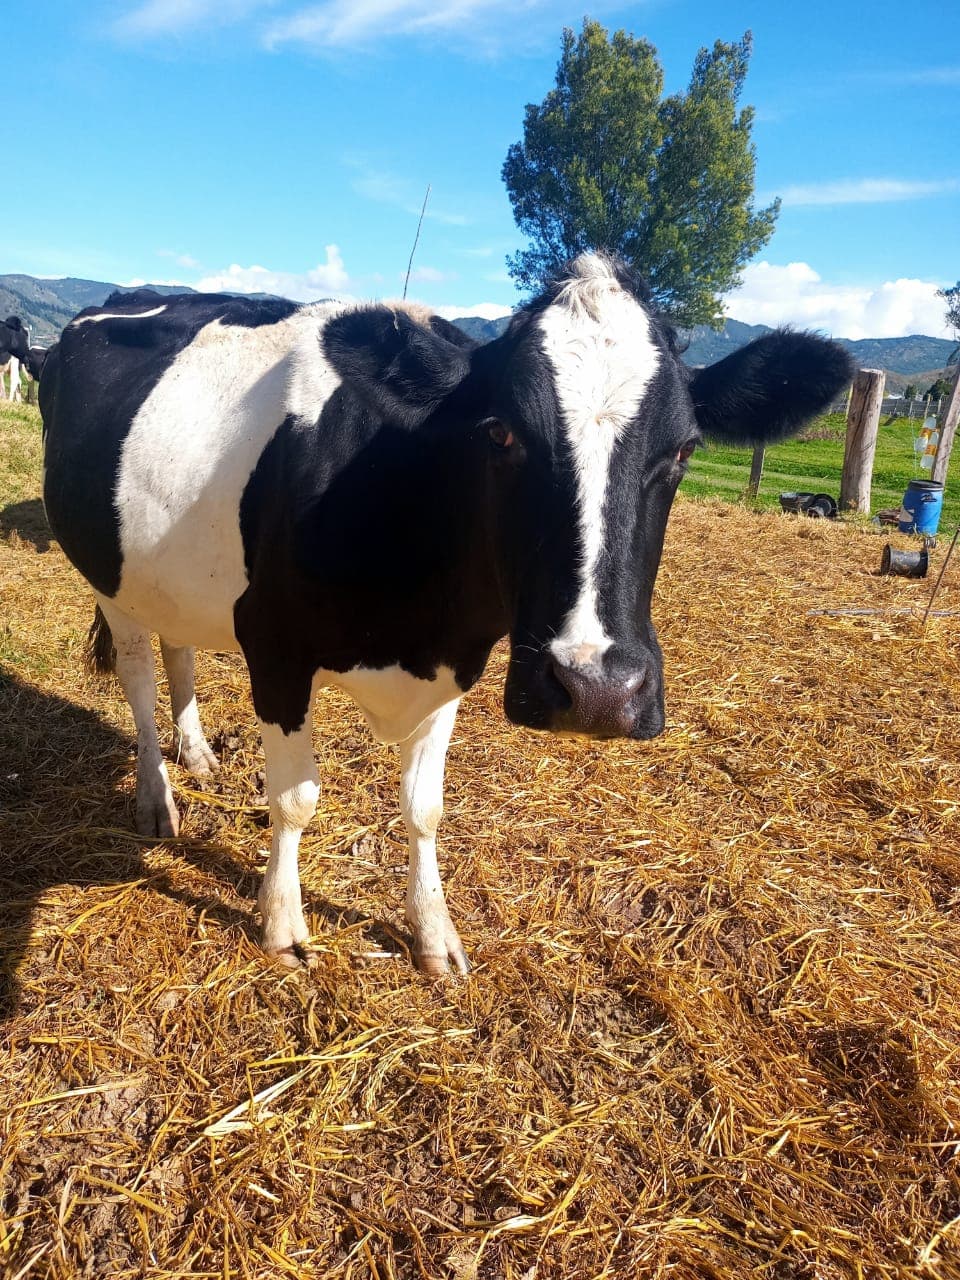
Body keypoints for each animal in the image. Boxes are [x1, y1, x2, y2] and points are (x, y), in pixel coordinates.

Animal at [40, 255, 853, 974]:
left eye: (684, 449)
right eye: (500, 432)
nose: (597, 690)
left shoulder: (455, 657)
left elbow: (424, 808)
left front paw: (433, 934)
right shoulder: (275, 649)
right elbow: (295, 800)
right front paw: (283, 925)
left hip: (164, 575)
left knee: (177, 650)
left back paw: (197, 753)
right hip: (109, 577)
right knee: (140, 679)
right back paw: (156, 796)